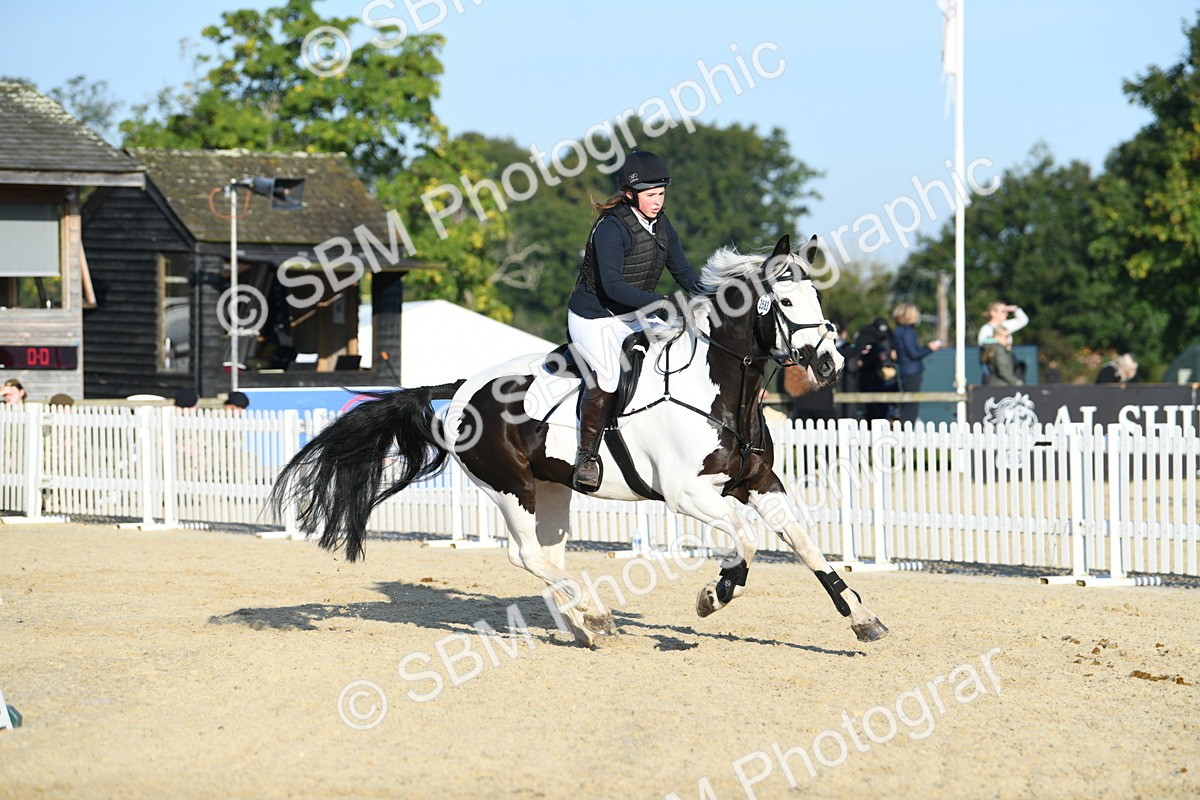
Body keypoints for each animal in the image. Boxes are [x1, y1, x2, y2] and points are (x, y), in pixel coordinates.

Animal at [269, 235, 889, 648]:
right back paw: (594, 616)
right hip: (509, 487)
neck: (718, 389)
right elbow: (749, 541)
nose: (829, 364)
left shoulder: (759, 481)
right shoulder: (689, 494)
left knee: (550, 554)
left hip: (553, 488)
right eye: (785, 303)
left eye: (817, 301)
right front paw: (716, 594)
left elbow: (803, 542)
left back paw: (583, 622)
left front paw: (862, 619)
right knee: (525, 554)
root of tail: (464, 385)